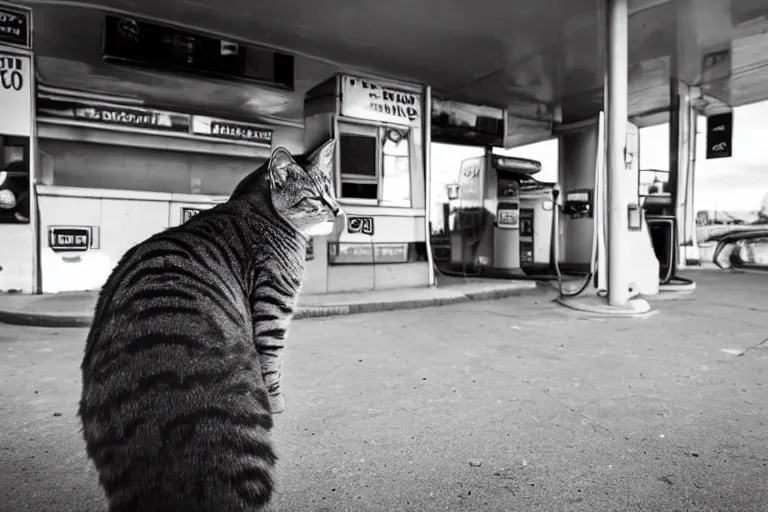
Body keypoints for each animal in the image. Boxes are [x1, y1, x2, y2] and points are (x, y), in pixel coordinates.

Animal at [79, 140, 340, 512]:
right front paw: (276, 400)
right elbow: (272, 362)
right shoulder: (273, 307)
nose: (338, 210)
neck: (257, 207)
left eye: (331, 190)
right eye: (315, 196)